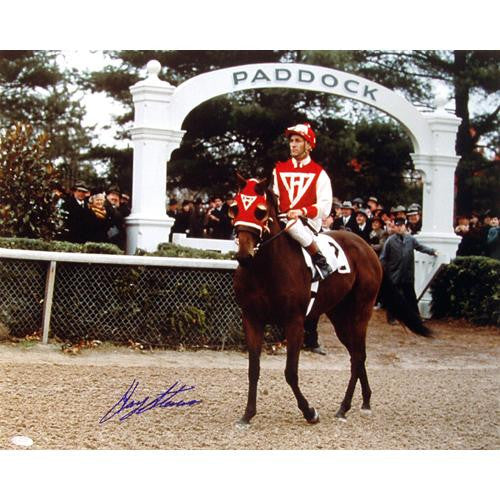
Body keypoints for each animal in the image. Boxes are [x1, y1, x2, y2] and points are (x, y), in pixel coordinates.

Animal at [231, 175, 430, 426]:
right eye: (235, 207)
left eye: (260, 211)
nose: (243, 255)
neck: (265, 270)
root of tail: (367, 247)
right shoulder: (252, 319)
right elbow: (253, 369)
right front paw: (247, 414)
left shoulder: (294, 322)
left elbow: (290, 372)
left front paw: (310, 412)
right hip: (339, 316)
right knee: (356, 355)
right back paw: (365, 400)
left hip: (361, 312)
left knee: (359, 355)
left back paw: (344, 407)